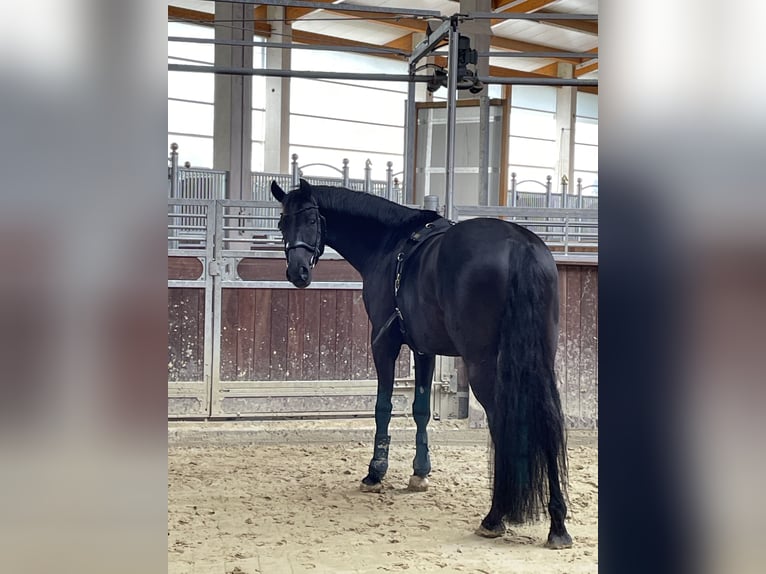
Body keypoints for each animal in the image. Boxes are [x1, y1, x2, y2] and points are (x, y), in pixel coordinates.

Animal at [272, 180, 572, 548]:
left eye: (312, 220)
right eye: (283, 223)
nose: (297, 272)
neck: (390, 244)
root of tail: (520, 247)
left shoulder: (383, 343)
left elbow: (383, 406)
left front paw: (375, 472)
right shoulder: (424, 349)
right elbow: (421, 409)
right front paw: (420, 473)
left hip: (483, 364)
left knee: (503, 421)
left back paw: (494, 516)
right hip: (540, 360)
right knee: (548, 419)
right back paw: (557, 524)